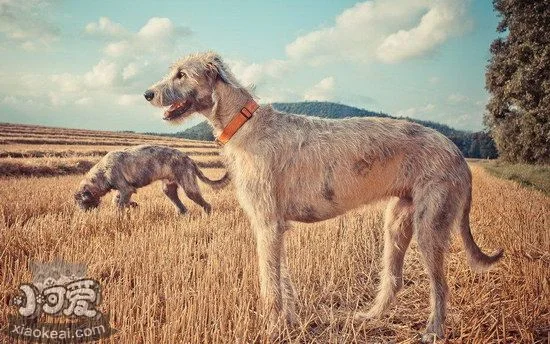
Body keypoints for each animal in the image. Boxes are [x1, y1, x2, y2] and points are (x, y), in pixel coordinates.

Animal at [143, 51, 504, 342]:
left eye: (181, 74)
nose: (147, 93)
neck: (244, 124)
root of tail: (458, 153)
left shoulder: (267, 222)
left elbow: (269, 284)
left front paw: (272, 330)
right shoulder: (275, 226)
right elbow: (282, 280)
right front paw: (288, 323)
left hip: (431, 224)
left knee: (441, 286)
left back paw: (433, 331)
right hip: (398, 219)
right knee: (394, 277)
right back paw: (371, 316)